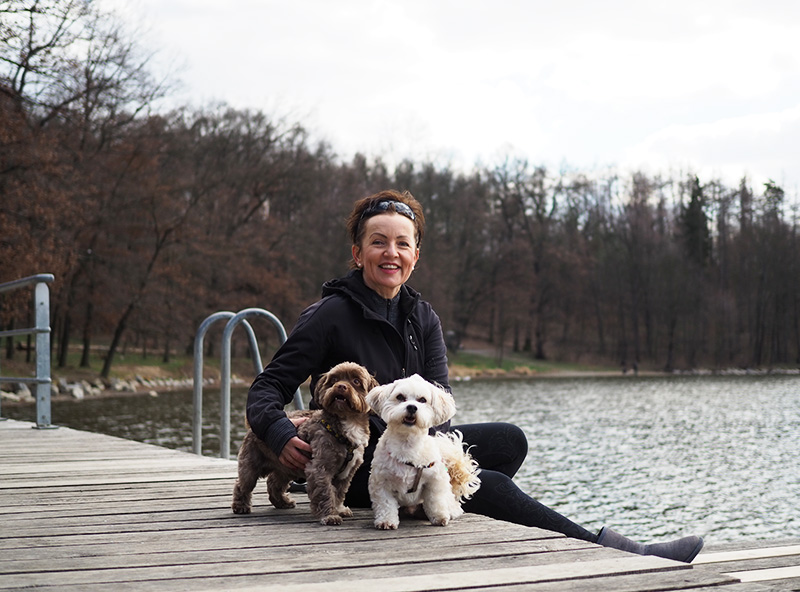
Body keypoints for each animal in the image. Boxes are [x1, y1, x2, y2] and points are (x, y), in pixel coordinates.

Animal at [231, 361, 377, 525]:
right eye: (333, 380)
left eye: (356, 381)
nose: (340, 386)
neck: (347, 423)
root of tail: (253, 426)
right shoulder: (320, 468)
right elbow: (325, 492)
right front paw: (330, 515)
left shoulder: (346, 473)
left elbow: (339, 492)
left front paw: (339, 509)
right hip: (252, 464)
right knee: (242, 484)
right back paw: (241, 506)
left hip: (286, 467)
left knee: (274, 483)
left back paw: (282, 502)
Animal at [367, 374, 480, 529]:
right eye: (400, 397)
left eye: (422, 400)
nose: (412, 407)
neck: (407, 444)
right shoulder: (381, 482)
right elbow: (386, 503)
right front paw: (386, 521)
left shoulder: (435, 480)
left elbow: (435, 500)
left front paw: (440, 517)